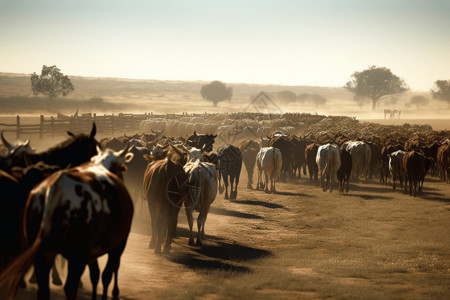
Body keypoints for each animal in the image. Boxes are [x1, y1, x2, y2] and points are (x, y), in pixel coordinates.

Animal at [0, 146, 134, 300]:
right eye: (122, 167)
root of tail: (58, 183)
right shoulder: (119, 244)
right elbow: (106, 275)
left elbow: (95, 275)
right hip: (77, 255)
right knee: (70, 287)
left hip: (43, 252)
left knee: (44, 289)